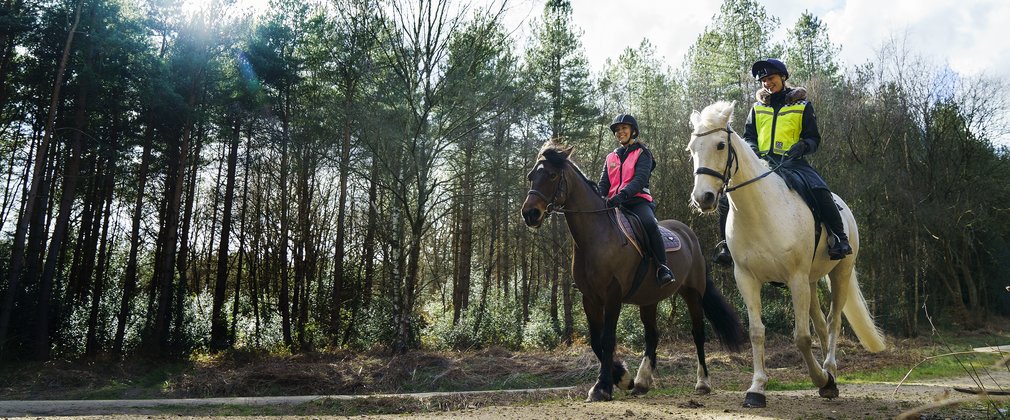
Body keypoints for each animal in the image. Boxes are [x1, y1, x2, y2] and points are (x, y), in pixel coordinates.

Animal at [521, 142, 743, 403]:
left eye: (552, 175)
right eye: (531, 176)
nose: (530, 213)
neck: (597, 236)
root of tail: (689, 235)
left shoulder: (613, 295)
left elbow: (607, 340)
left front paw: (603, 387)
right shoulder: (590, 298)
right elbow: (596, 341)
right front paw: (622, 378)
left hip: (692, 294)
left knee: (698, 333)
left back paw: (703, 383)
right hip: (649, 300)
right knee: (652, 335)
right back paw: (642, 381)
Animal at [686, 100, 884, 407]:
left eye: (720, 145)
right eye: (692, 149)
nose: (702, 198)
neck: (759, 211)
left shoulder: (796, 279)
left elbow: (801, 337)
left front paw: (822, 381)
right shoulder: (747, 279)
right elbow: (757, 332)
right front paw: (756, 389)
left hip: (840, 272)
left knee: (833, 321)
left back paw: (829, 371)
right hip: (812, 282)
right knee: (821, 324)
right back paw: (828, 372)